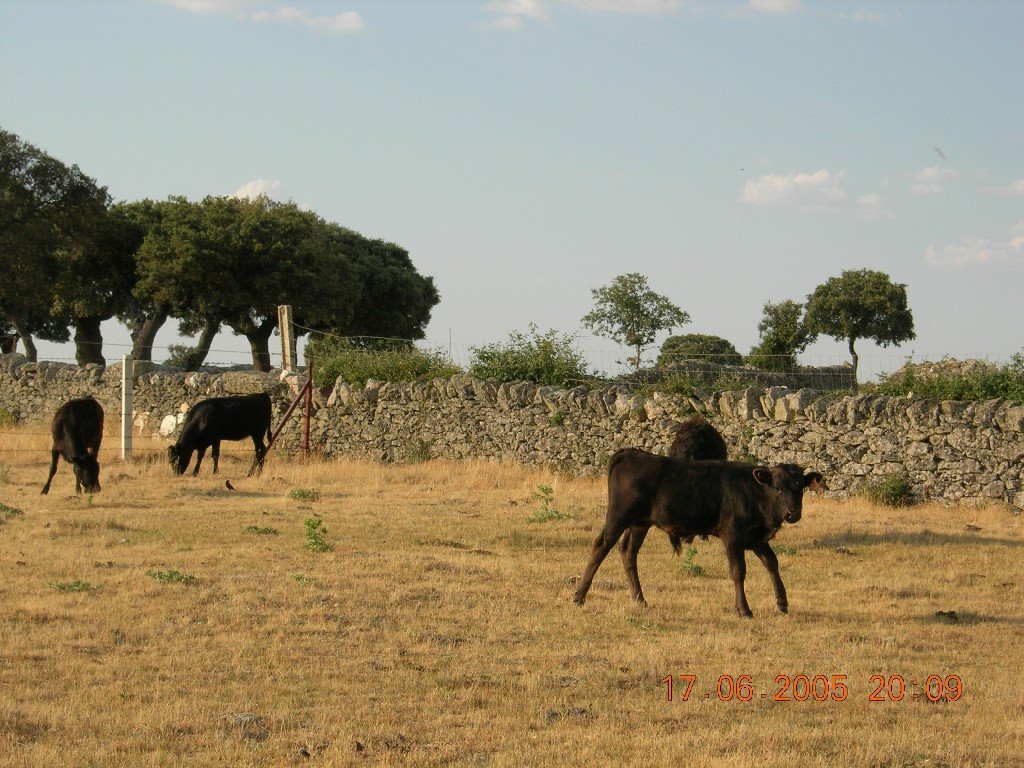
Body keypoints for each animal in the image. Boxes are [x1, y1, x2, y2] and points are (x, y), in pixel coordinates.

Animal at [577, 450, 823, 618]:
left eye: (800, 487)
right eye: (777, 487)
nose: (793, 513)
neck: (754, 493)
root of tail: (630, 453)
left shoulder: (756, 538)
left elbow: (772, 563)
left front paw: (782, 602)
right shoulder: (732, 537)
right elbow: (738, 572)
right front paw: (743, 609)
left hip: (640, 524)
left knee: (628, 552)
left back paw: (639, 599)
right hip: (618, 517)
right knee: (600, 546)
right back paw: (579, 596)